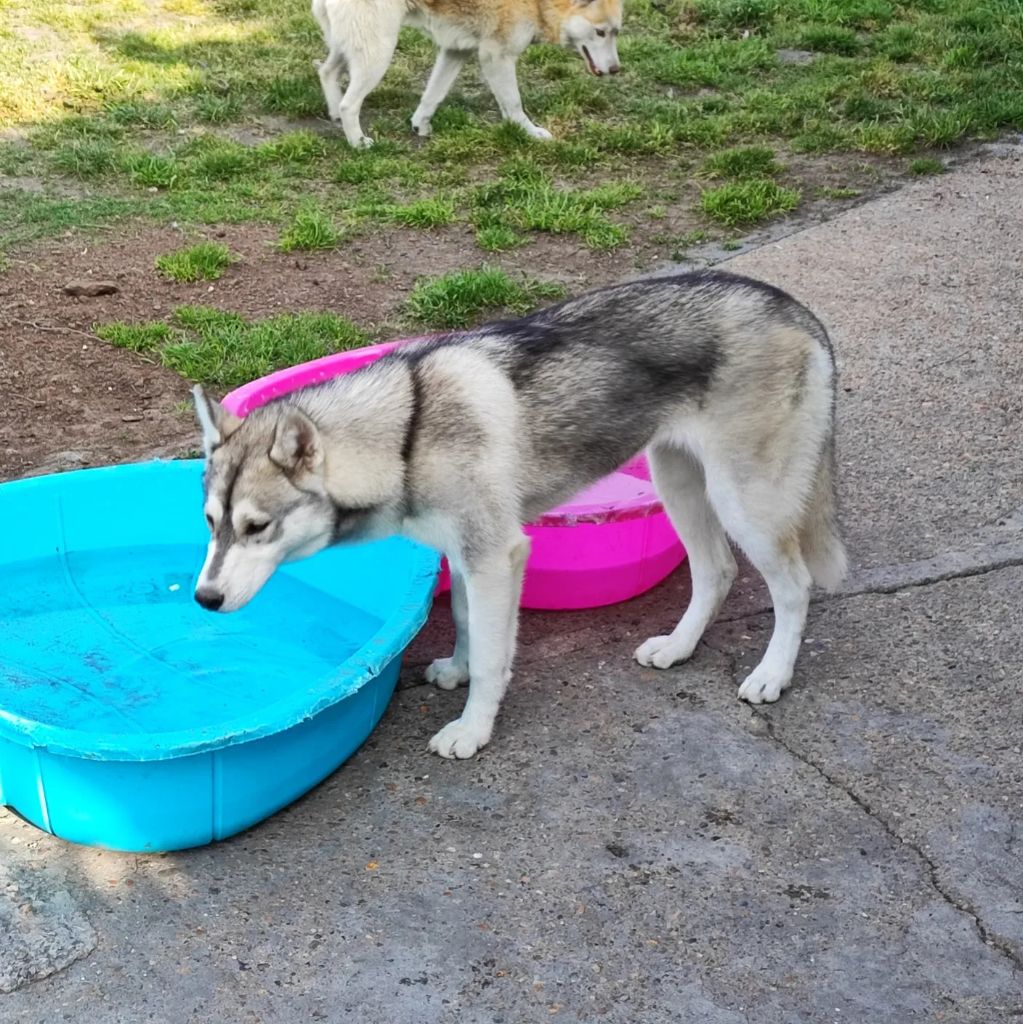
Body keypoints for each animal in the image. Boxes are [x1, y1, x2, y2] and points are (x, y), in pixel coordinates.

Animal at [309, 0, 622, 146]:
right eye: (600, 32)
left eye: (616, 32)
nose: (616, 70)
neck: (539, 4)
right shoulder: (496, 56)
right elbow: (513, 105)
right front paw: (530, 132)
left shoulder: (454, 52)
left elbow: (432, 95)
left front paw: (419, 126)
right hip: (379, 53)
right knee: (350, 104)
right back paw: (358, 143)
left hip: (352, 47)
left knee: (326, 71)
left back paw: (334, 113)